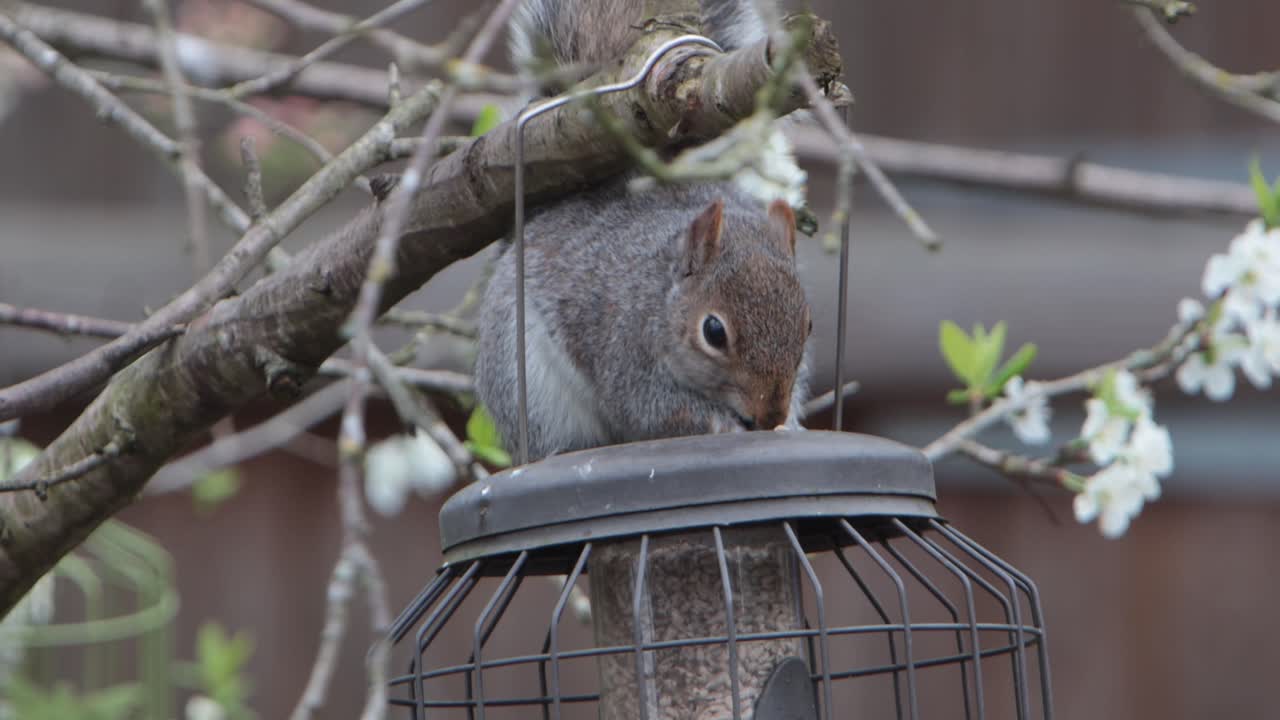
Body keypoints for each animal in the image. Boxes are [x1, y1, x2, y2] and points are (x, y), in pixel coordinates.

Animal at [474, 0, 813, 462]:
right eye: (713, 332)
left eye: (808, 325)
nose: (770, 415)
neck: (661, 298)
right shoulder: (625, 353)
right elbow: (655, 410)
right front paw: (722, 423)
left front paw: (789, 423)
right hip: (524, 380)